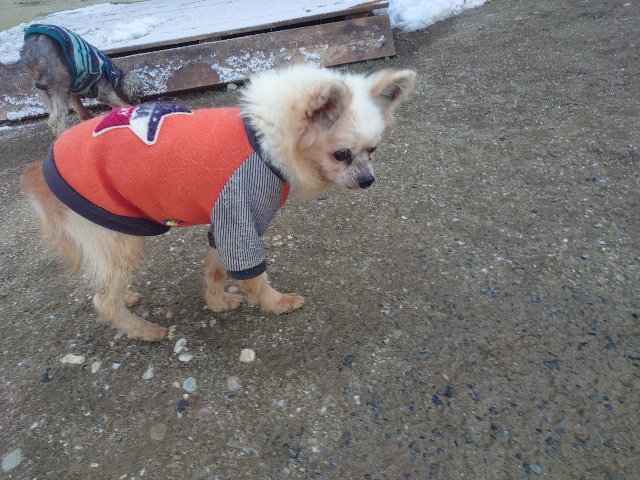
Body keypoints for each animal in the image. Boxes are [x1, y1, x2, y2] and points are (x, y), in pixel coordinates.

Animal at [22, 63, 416, 341]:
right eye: (342, 155)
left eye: (373, 150)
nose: (368, 181)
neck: (262, 140)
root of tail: (38, 173)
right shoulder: (240, 217)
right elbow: (253, 275)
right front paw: (274, 303)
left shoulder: (223, 220)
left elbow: (216, 268)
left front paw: (217, 303)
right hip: (119, 239)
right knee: (103, 300)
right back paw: (143, 330)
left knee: (106, 286)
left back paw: (128, 299)